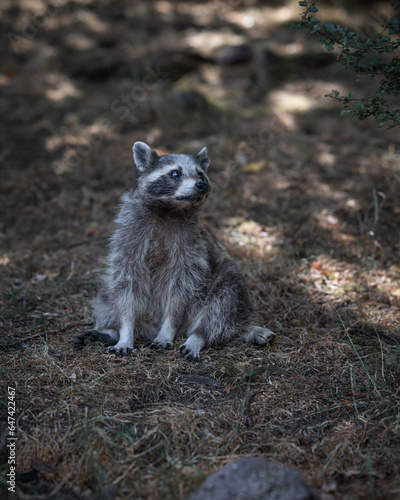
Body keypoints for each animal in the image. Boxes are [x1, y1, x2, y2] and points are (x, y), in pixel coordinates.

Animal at [74, 142, 275, 360]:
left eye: (200, 174)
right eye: (175, 173)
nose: (201, 185)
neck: (170, 209)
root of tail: (151, 327)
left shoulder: (191, 249)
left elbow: (181, 294)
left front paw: (167, 331)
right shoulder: (129, 239)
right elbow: (126, 285)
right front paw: (125, 333)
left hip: (229, 285)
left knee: (222, 306)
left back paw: (197, 337)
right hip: (117, 299)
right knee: (107, 299)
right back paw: (110, 332)